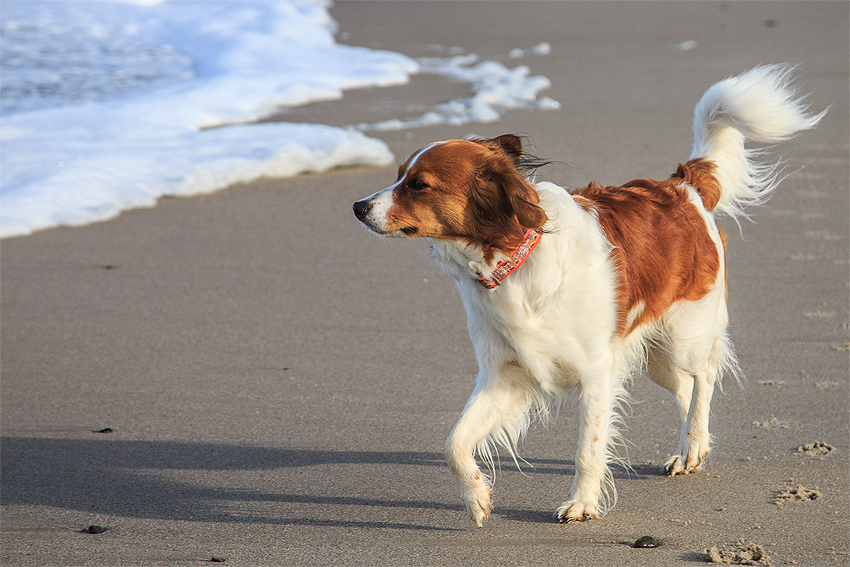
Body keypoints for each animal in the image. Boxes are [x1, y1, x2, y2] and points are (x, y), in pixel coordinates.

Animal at [352, 66, 820, 528]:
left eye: (418, 184)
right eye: (398, 175)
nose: (357, 207)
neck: (516, 259)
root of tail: (682, 186)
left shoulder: (596, 371)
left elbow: (587, 449)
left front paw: (581, 504)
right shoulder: (506, 372)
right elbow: (454, 442)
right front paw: (476, 498)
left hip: (684, 336)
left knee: (703, 378)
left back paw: (690, 447)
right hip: (652, 356)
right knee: (685, 389)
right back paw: (693, 447)